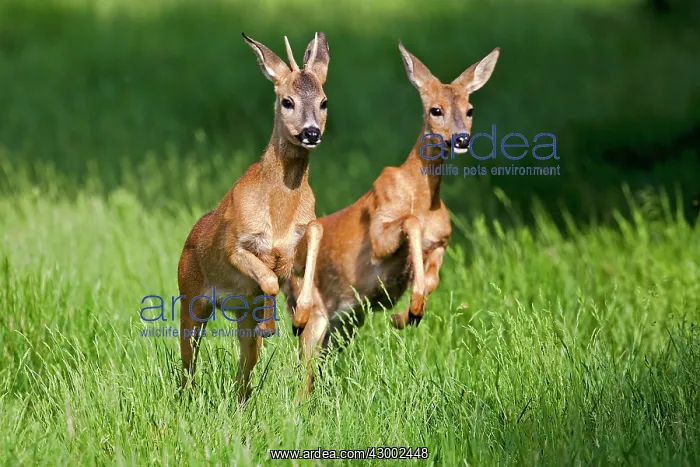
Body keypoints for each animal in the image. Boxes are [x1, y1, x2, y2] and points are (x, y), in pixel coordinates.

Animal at [178, 31, 330, 402]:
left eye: (323, 101)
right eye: (286, 101)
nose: (311, 133)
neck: (279, 212)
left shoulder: (299, 238)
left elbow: (314, 232)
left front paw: (298, 314)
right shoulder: (235, 243)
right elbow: (269, 278)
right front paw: (274, 323)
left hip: (239, 317)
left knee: (245, 369)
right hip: (190, 299)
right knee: (187, 362)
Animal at [283, 42, 500, 396]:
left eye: (470, 109)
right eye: (435, 109)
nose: (461, 139)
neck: (424, 199)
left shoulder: (443, 240)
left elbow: (433, 277)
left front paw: (407, 314)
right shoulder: (378, 230)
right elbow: (408, 224)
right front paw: (410, 309)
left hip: (345, 322)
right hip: (313, 313)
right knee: (303, 368)